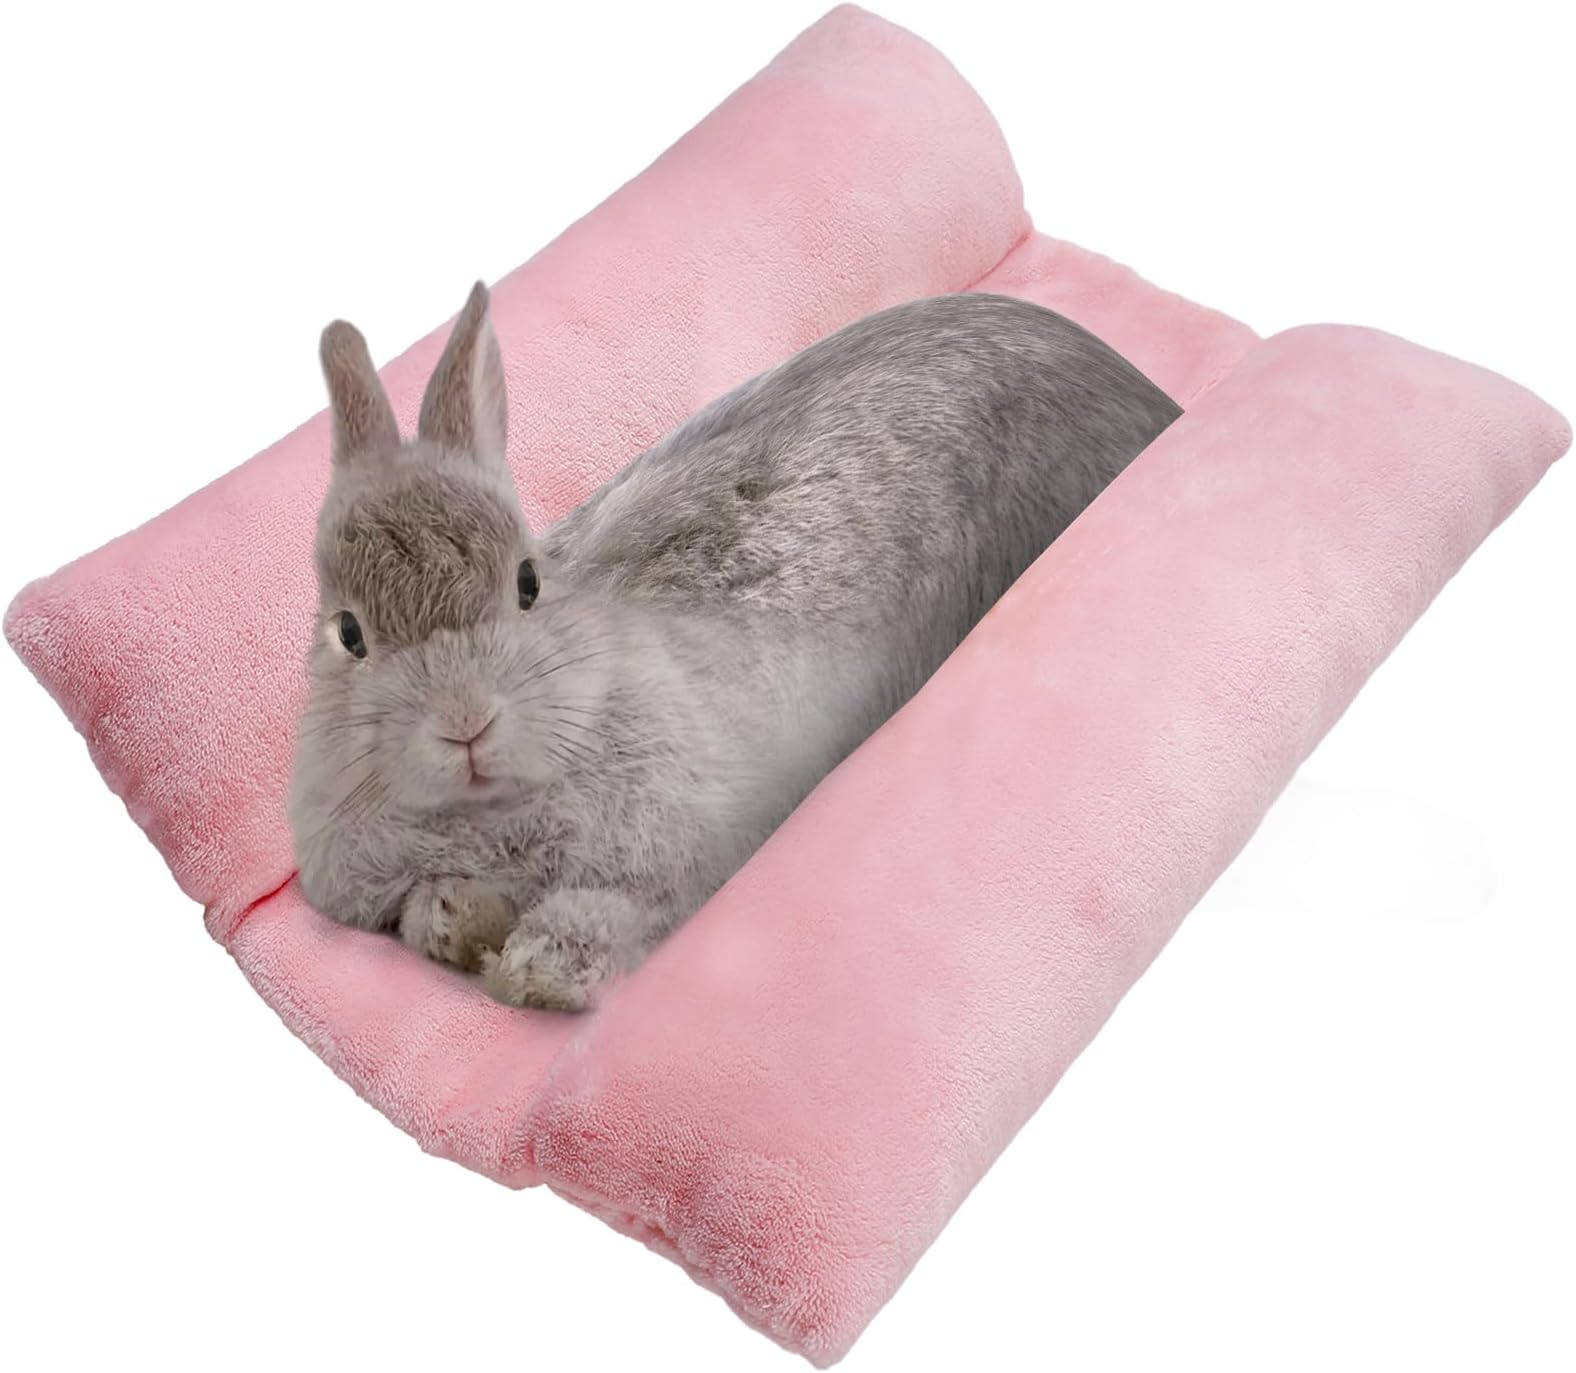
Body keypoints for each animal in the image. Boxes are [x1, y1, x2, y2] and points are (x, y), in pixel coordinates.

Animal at [288, 282, 1181, 1010]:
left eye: (528, 582)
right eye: (350, 633)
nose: (465, 721)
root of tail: (1149, 393)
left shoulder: (680, 859)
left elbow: (615, 914)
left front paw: (537, 972)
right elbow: (422, 913)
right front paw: (466, 927)